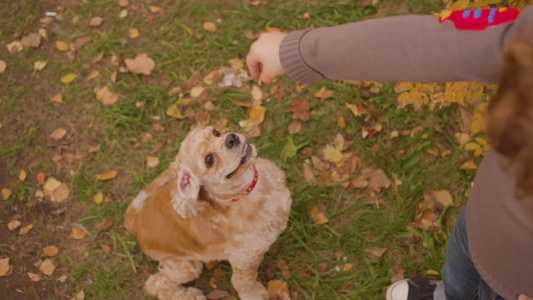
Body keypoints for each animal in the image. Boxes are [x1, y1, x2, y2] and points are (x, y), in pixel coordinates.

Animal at [124, 123, 290, 300]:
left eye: (216, 132)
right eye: (209, 160)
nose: (231, 138)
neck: (247, 192)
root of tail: (138, 220)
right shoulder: (244, 258)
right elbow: (242, 282)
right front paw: (254, 294)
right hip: (186, 265)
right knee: (155, 283)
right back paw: (191, 295)